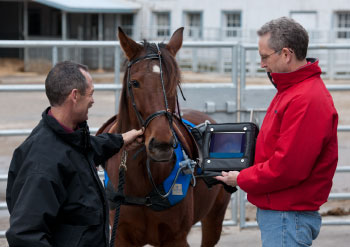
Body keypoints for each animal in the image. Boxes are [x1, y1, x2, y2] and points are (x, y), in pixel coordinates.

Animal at [97, 27, 231, 247]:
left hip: (214, 218)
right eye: (134, 83)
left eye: (174, 83)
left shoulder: (175, 238)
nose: (161, 144)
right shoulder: (121, 237)